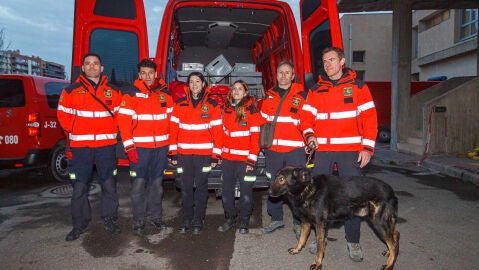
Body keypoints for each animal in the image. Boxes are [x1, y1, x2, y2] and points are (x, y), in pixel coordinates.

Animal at [270, 166, 402, 268]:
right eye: (277, 177)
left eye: (281, 179)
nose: (269, 192)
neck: (306, 188)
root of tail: (391, 192)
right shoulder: (306, 222)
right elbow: (301, 239)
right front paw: (297, 250)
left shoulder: (320, 225)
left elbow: (320, 246)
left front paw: (317, 264)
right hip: (383, 222)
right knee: (396, 234)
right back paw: (389, 253)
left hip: (378, 223)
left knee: (392, 243)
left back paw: (389, 264)